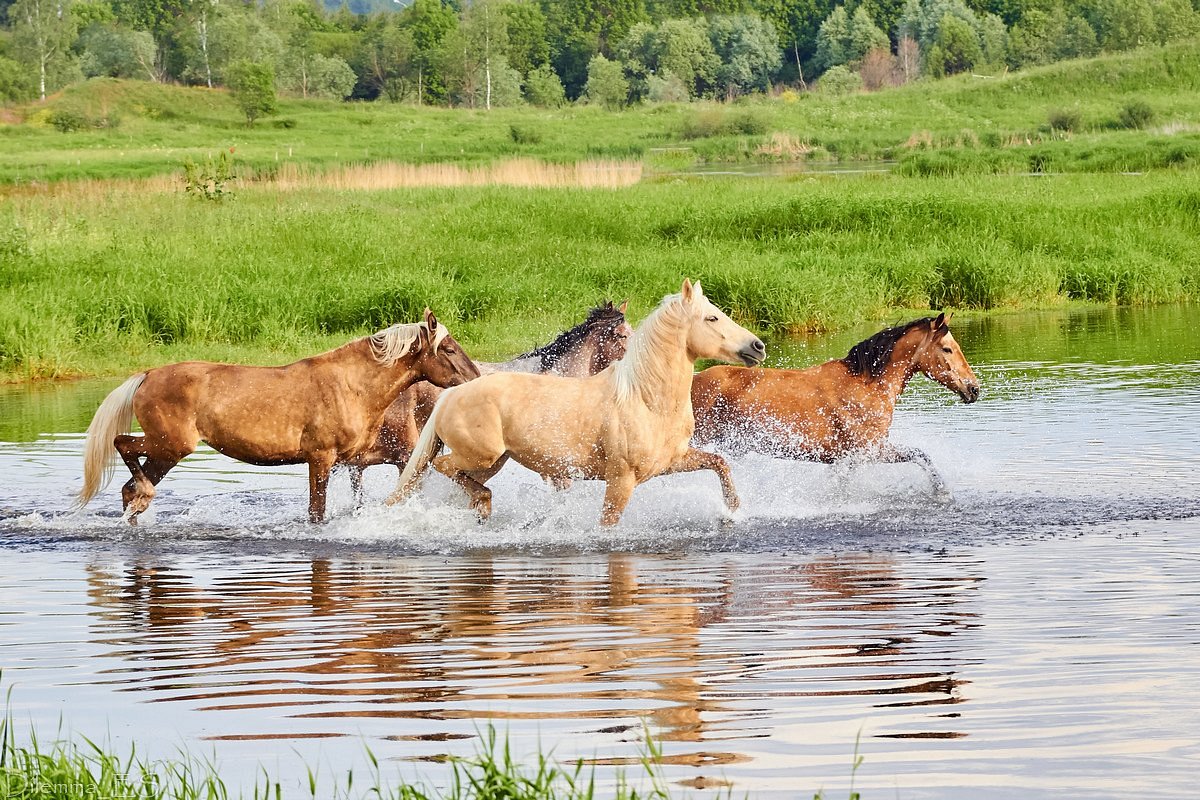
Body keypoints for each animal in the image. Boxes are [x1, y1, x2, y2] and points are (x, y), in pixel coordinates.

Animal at [72, 311, 477, 525]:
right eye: (449, 349)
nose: (475, 379)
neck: (352, 385)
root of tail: (147, 375)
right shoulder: (321, 458)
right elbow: (316, 512)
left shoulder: (357, 459)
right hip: (170, 445)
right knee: (122, 445)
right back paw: (145, 495)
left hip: (165, 452)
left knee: (127, 487)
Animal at [388, 278, 763, 527]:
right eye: (712, 318)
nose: (758, 347)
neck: (645, 399)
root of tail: (452, 393)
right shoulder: (619, 480)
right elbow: (606, 523)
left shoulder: (672, 461)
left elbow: (719, 463)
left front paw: (733, 510)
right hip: (482, 456)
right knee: (442, 468)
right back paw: (483, 503)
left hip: (492, 461)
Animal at [691, 311, 979, 494]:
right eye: (947, 349)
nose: (973, 388)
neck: (866, 385)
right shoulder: (869, 451)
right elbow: (921, 456)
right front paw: (941, 491)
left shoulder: (852, 457)